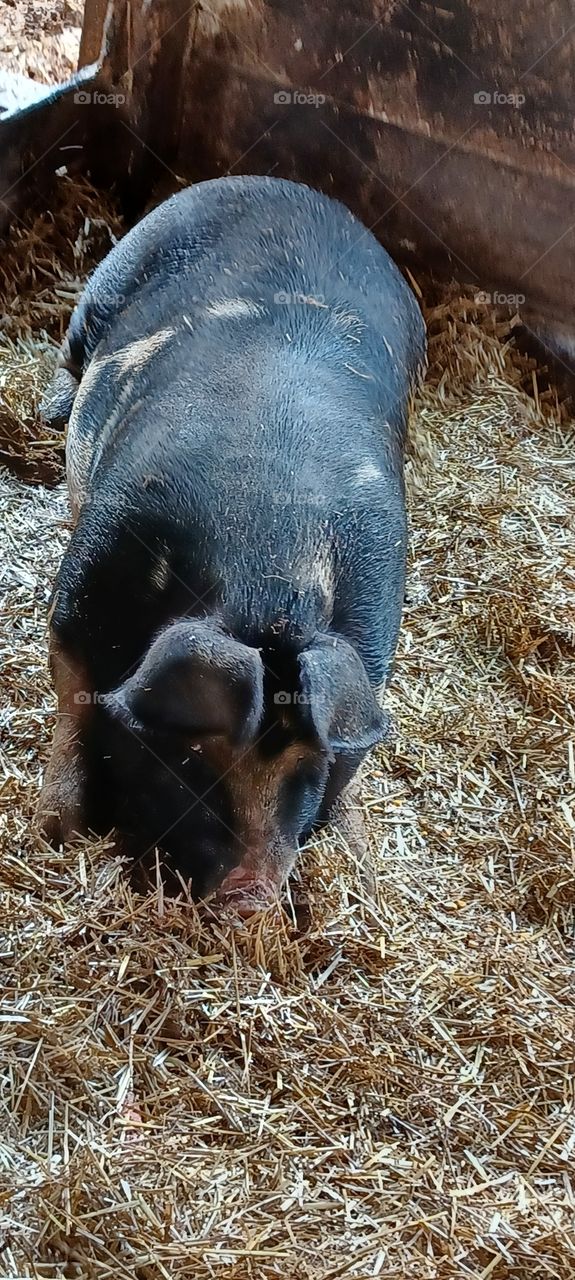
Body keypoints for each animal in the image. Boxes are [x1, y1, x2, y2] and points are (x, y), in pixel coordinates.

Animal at [37, 174, 426, 911]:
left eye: (312, 767)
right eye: (193, 761)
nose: (251, 894)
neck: (269, 574)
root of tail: (277, 184)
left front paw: (360, 860)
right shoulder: (81, 586)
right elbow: (72, 700)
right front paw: (59, 832)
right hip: (111, 278)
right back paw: (49, 406)